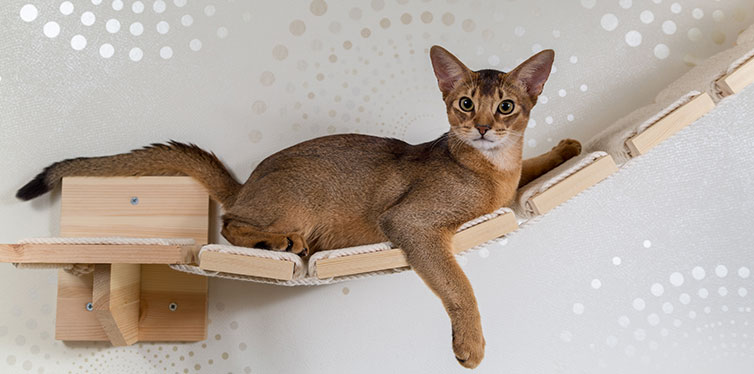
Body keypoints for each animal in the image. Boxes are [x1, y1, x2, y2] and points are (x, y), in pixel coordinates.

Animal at [19, 46, 580, 368]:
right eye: (465, 103)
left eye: (506, 106)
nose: (482, 127)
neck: (490, 170)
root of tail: (247, 182)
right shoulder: (412, 222)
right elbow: (459, 285)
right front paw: (471, 344)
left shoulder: (508, 184)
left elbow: (529, 168)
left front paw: (565, 148)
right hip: (303, 198)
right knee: (230, 223)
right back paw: (279, 241)